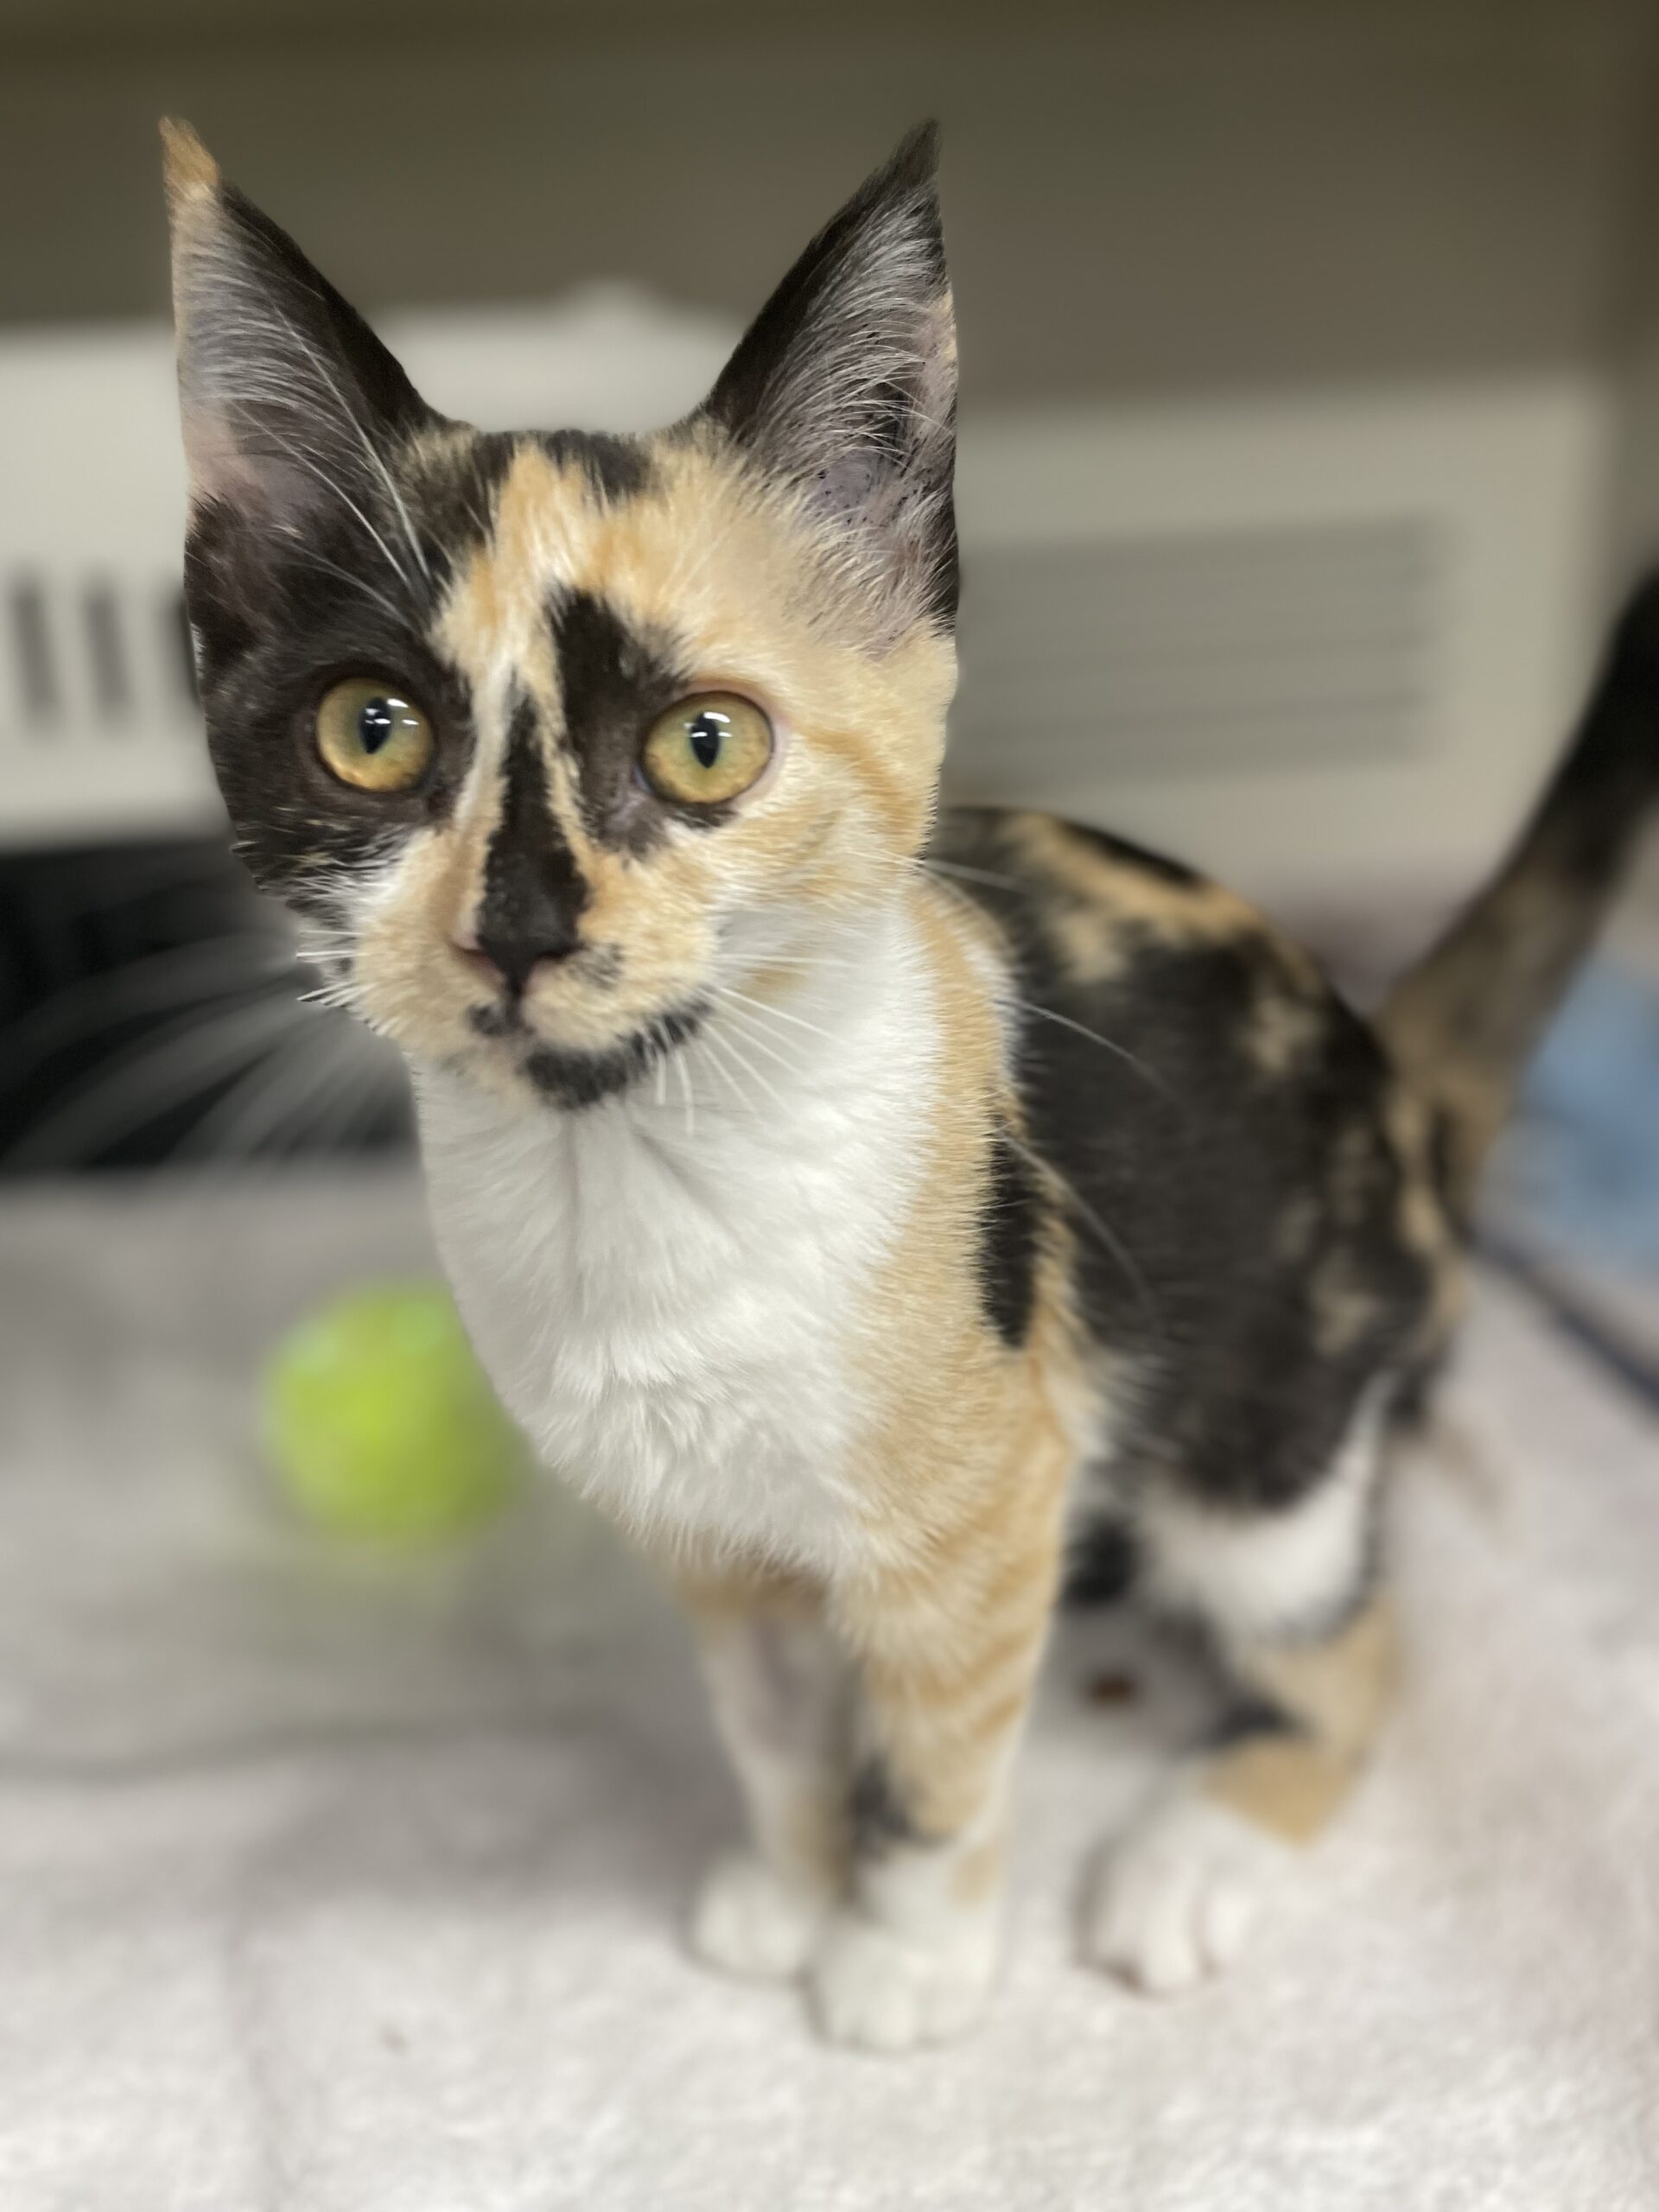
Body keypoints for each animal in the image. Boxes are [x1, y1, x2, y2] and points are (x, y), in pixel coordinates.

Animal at [162, 116, 1659, 2050]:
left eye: (705, 745)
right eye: (372, 730)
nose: (520, 926)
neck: (636, 1162)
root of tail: (1392, 1083)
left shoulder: (984, 1497)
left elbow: (943, 1733)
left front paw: (907, 1952)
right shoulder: (711, 1537)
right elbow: (773, 1718)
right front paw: (794, 1880)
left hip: (1270, 1437)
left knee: (1352, 1649)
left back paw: (1193, 1848)